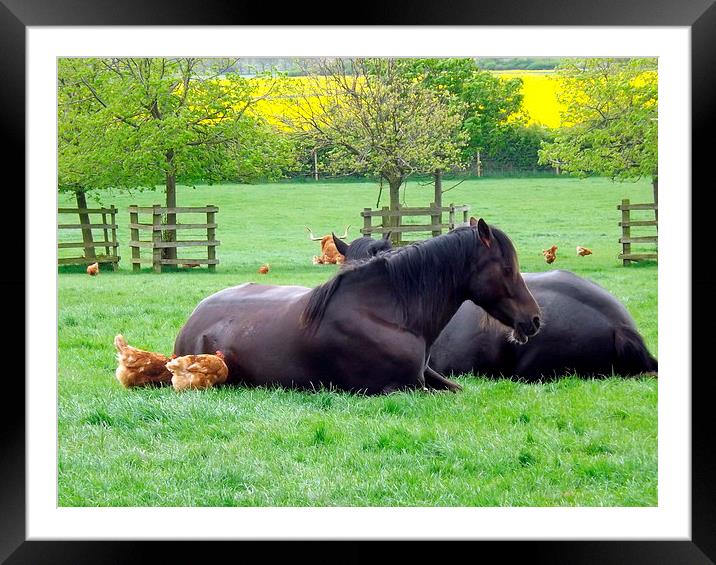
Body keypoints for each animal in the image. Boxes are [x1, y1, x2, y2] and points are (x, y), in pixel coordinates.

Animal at [173, 218, 540, 394]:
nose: (534, 320)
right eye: (507, 268)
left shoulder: (427, 378)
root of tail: (193, 319)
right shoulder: (402, 389)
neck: (386, 313)